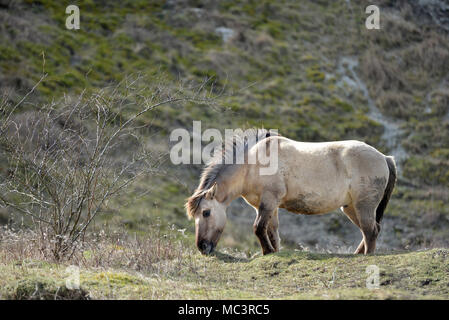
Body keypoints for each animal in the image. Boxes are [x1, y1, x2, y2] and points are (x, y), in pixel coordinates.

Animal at [186, 129, 396, 256]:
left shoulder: (269, 201)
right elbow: (272, 232)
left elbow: (258, 228)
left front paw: (267, 253)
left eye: (206, 212)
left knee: (370, 231)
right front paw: (272, 252)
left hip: (364, 205)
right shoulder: (267, 206)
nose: (202, 247)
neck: (252, 163)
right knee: (369, 231)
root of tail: (384, 157)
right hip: (351, 207)